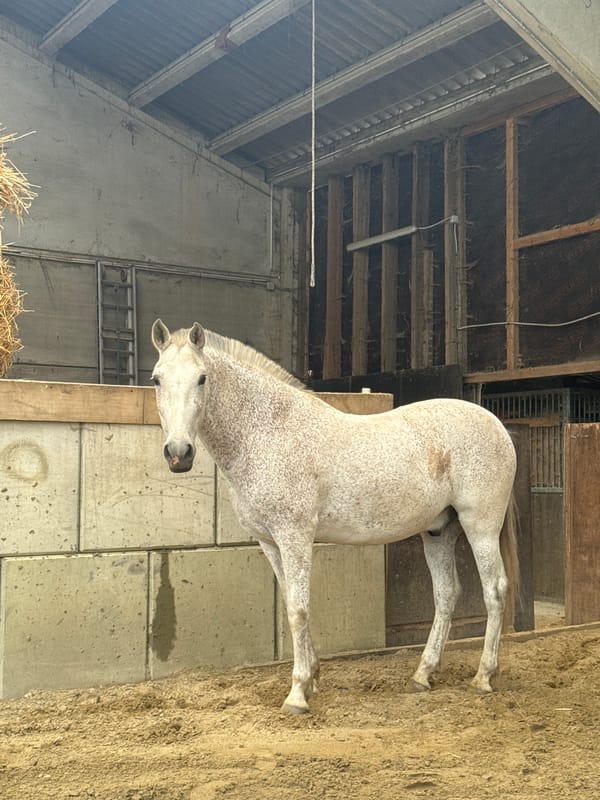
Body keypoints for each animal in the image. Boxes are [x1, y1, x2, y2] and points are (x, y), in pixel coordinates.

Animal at [150, 319, 519, 714]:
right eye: (156, 379)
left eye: (202, 378)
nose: (178, 453)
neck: (267, 431)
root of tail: (497, 425)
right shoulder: (270, 543)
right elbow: (291, 603)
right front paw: (312, 677)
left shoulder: (295, 536)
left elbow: (298, 610)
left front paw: (297, 694)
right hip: (438, 532)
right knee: (447, 594)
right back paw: (423, 674)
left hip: (480, 526)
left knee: (495, 590)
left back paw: (483, 677)